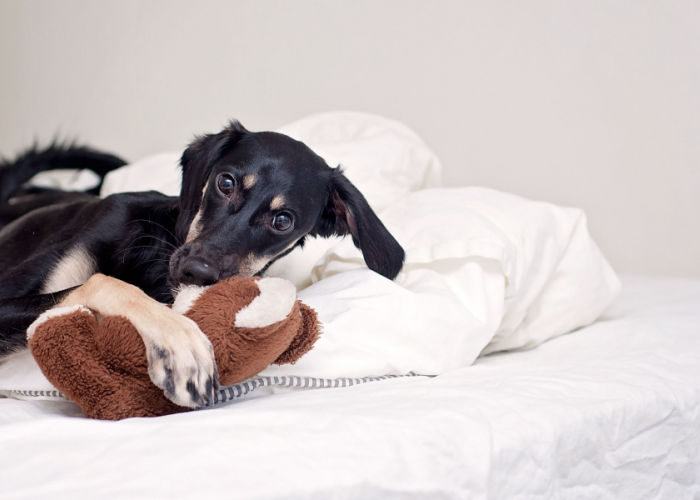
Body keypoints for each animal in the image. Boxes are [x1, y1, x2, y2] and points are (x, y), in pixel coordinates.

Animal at [0, 120, 404, 406]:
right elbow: (103, 281)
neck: (155, 253)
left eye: (282, 221)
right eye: (225, 183)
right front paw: (180, 342)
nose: (197, 272)